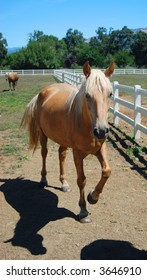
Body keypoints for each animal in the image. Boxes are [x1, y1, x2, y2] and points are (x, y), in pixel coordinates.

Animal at [21, 61, 115, 223]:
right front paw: (83, 211)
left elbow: (106, 171)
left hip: (63, 140)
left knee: (61, 155)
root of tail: (42, 93)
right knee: (44, 154)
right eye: (87, 95)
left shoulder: (100, 148)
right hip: (43, 135)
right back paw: (43, 180)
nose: (101, 131)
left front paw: (93, 197)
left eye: (110, 94)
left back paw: (64, 184)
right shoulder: (77, 153)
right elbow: (82, 180)